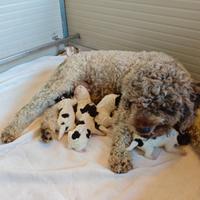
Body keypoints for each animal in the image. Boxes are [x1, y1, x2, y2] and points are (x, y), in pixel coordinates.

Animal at [0, 50, 199, 173]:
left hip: (66, 93)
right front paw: (120, 157)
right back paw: (11, 130)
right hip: (62, 83)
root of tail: (69, 57)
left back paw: (47, 130)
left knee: (49, 110)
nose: (142, 130)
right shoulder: (125, 111)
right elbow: (121, 134)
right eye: (137, 103)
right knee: (32, 106)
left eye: (165, 107)